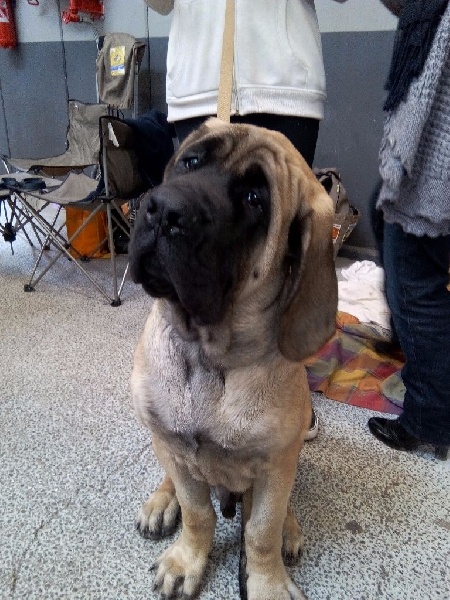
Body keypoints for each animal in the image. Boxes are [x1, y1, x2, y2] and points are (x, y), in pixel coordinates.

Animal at [129, 118, 338, 600]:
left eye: (255, 198)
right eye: (190, 162)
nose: (161, 210)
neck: (207, 354)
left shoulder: (276, 465)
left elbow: (261, 530)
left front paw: (267, 583)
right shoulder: (176, 445)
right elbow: (197, 513)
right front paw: (187, 559)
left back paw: (290, 530)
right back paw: (161, 502)